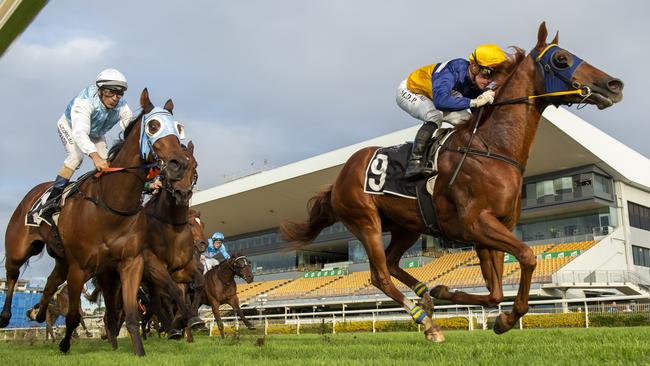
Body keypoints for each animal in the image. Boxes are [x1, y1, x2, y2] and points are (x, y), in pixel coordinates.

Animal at [2, 88, 189, 354]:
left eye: (178, 127)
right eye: (153, 126)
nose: (179, 164)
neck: (111, 205)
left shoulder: (130, 262)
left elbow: (132, 314)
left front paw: (140, 351)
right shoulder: (80, 267)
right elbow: (72, 316)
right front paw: (65, 344)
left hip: (62, 259)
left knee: (50, 282)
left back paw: (38, 313)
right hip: (20, 248)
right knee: (12, 274)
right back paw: (6, 316)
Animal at [280, 22, 624, 344]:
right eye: (561, 59)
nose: (614, 85)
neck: (492, 149)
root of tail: (339, 178)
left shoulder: (492, 229)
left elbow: (496, 293)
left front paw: (459, 298)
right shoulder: (477, 224)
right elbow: (527, 256)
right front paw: (505, 317)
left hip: (407, 225)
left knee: (391, 263)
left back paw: (426, 296)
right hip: (366, 221)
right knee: (380, 276)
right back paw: (427, 323)